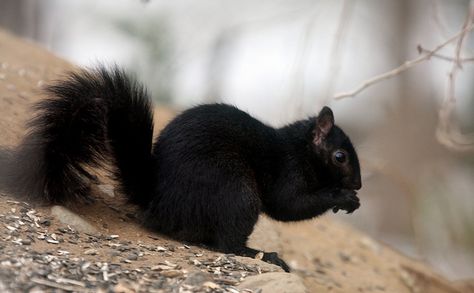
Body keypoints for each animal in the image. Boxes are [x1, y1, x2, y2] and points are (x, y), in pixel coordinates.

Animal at [0, 66, 362, 272]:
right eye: (340, 156)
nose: (358, 185)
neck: (300, 149)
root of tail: (157, 202)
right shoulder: (287, 171)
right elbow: (288, 205)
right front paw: (341, 197)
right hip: (237, 194)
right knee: (228, 244)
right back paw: (262, 254)